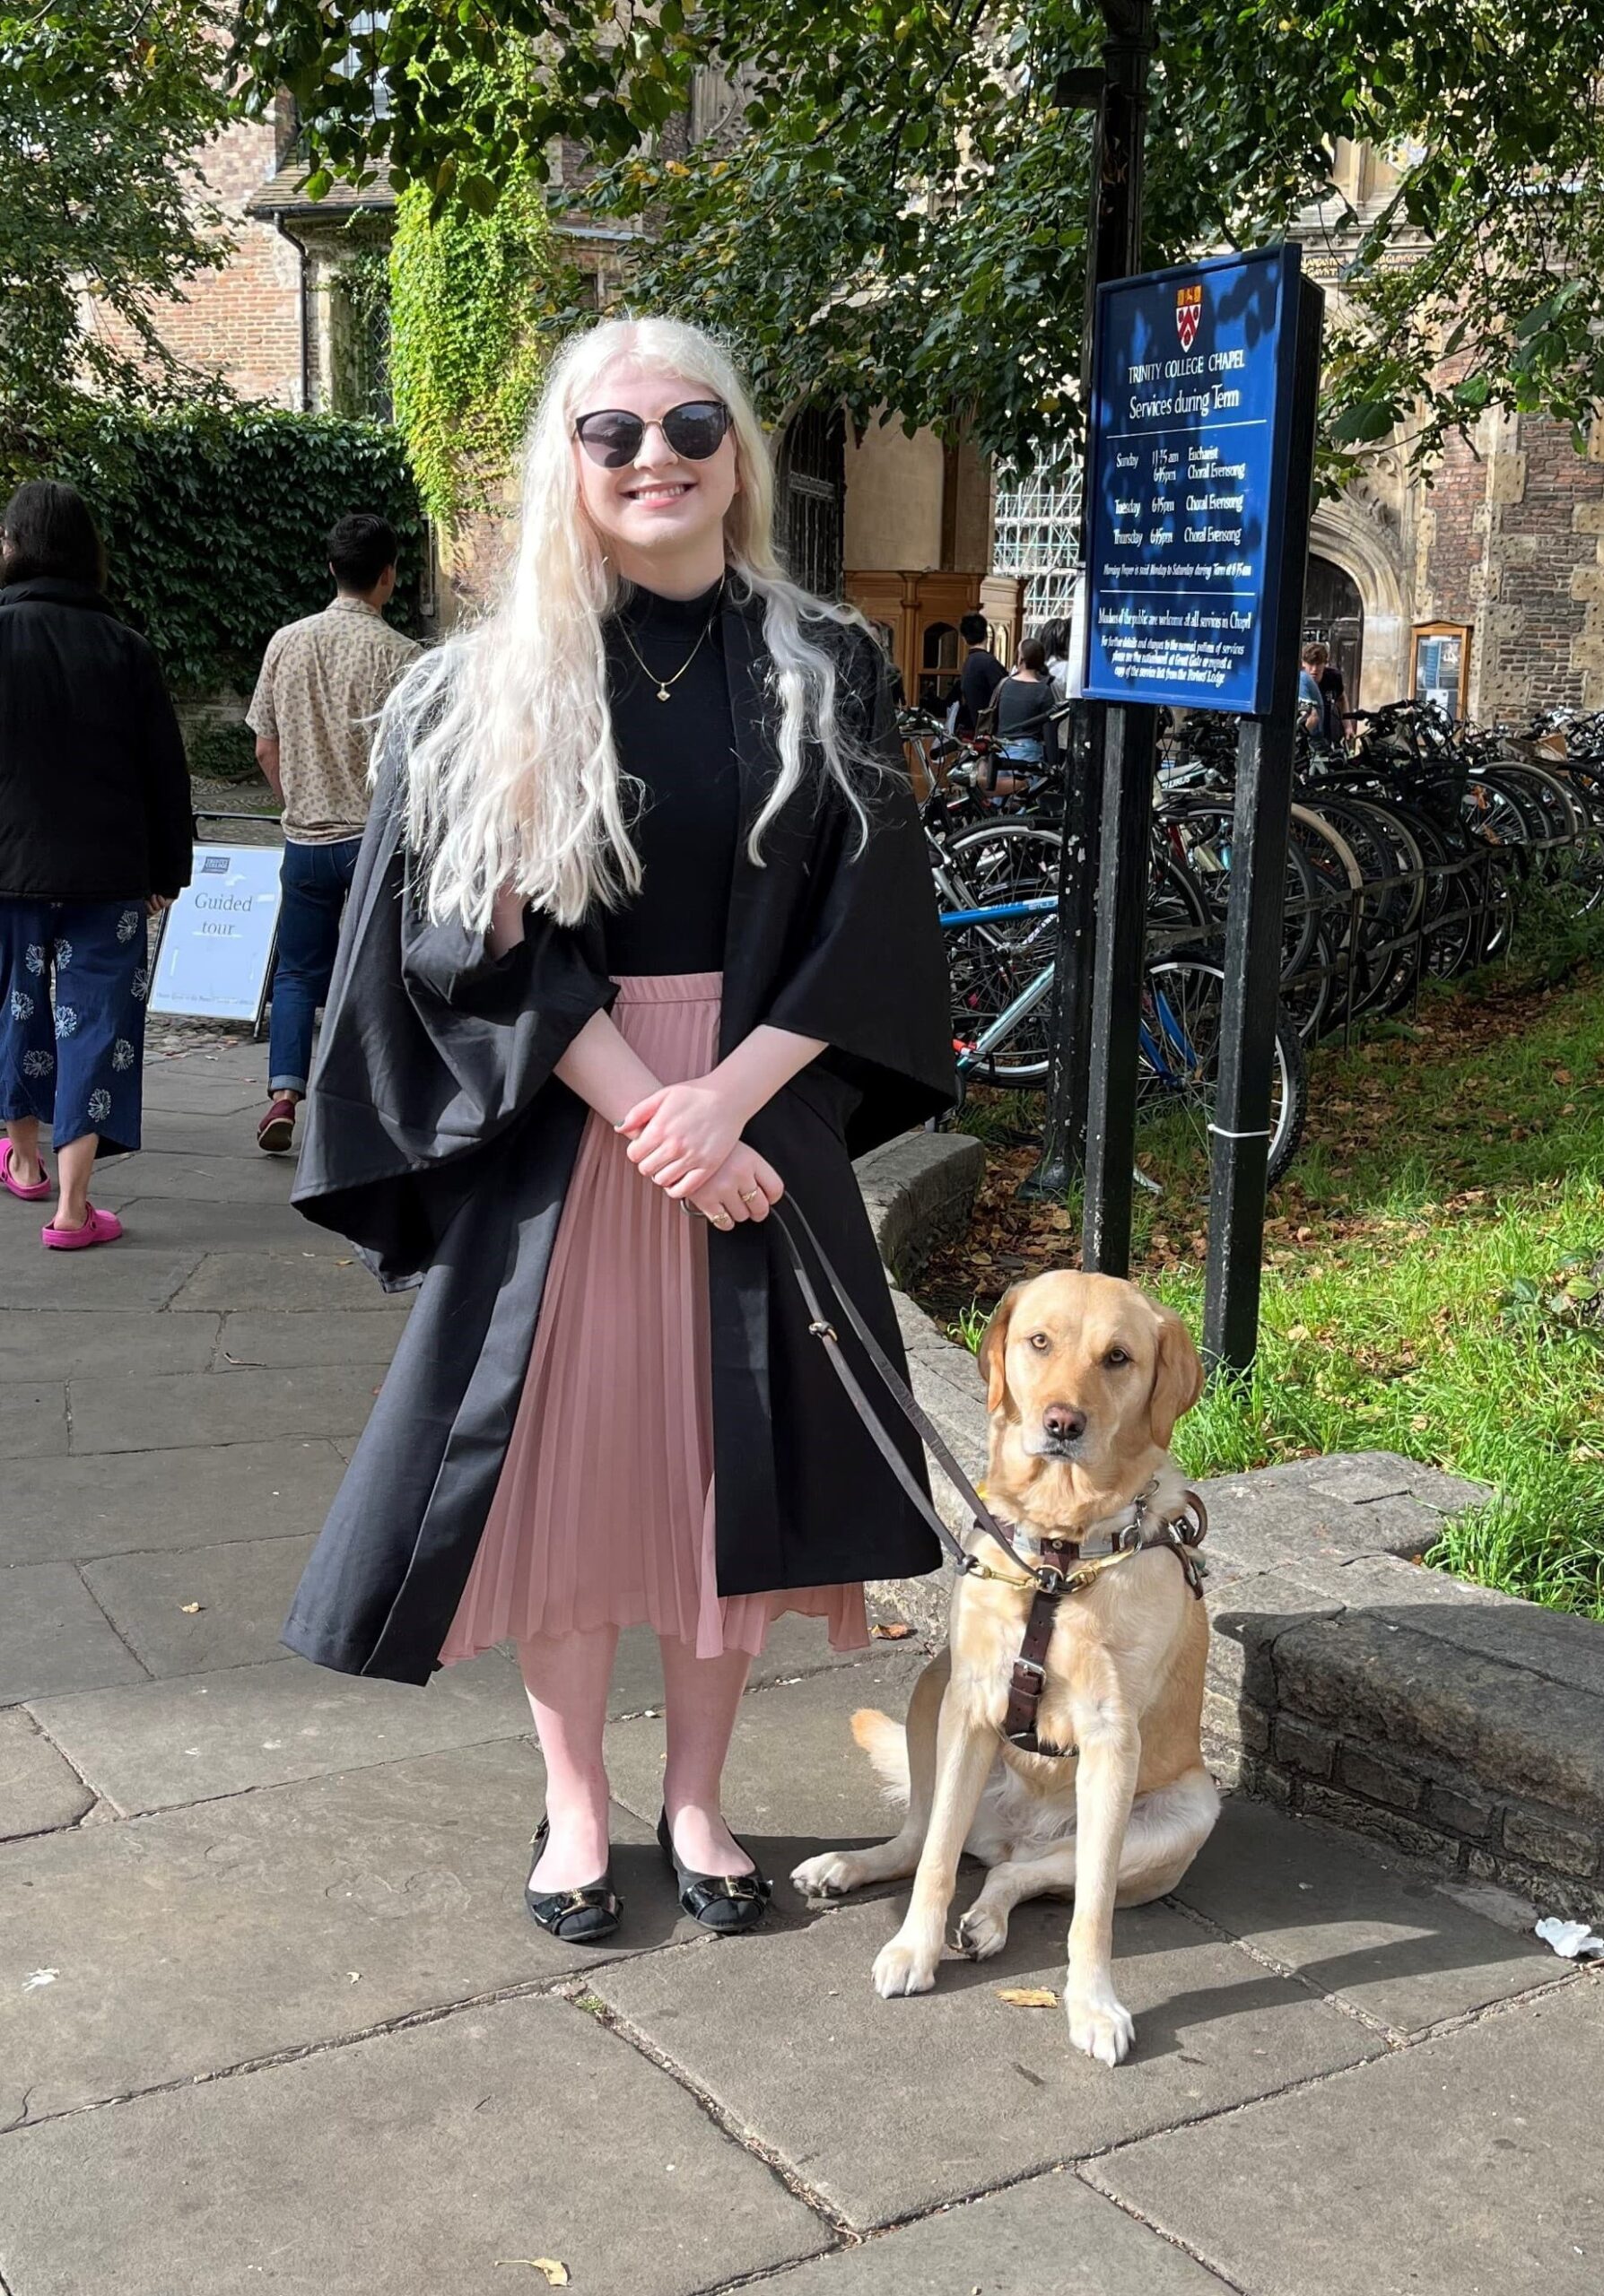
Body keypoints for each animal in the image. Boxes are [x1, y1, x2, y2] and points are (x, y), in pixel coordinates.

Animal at [795, 1267, 1222, 2075]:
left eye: (1117, 1357)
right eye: (1040, 1342)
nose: (1061, 1422)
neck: (1058, 1554)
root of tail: (1013, 1828)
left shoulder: (1113, 1741)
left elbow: (1091, 1913)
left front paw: (1093, 2006)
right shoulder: (969, 1706)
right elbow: (934, 1862)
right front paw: (914, 1950)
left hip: (1187, 1811)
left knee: (1025, 1872)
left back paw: (988, 1921)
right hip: (931, 1691)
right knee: (924, 1839)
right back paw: (850, 1868)